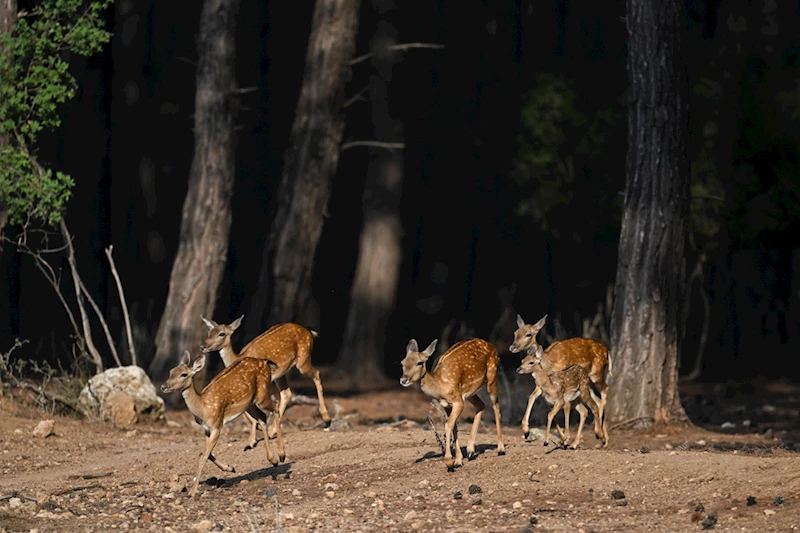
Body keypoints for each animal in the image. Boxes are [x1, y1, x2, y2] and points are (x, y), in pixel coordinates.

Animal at [159, 352, 284, 496]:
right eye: (171, 371)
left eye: (183, 374)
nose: (163, 386)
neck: (203, 408)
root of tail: (265, 362)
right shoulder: (206, 429)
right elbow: (206, 454)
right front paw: (231, 468)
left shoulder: (217, 426)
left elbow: (204, 456)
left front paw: (192, 492)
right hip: (250, 404)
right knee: (263, 417)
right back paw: (273, 460)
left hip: (262, 395)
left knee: (275, 406)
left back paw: (282, 456)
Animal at [202, 314, 330, 446]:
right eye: (209, 332)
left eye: (221, 334)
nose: (203, 346)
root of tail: (309, 331)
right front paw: (255, 435)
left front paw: (252, 440)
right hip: (282, 373)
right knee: (287, 394)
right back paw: (272, 431)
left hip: (303, 359)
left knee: (316, 373)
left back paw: (327, 420)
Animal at [400, 336, 506, 470]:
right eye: (402, 363)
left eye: (419, 363)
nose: (403, 380)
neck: (441, 386)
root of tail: (493, 346)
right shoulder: (447, 405)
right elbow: (454, 425)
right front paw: (458, 461)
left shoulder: (458, 401)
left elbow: (448, 424)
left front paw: (450, 462)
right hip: (471, 392)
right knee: (481, 405)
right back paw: (470, 451)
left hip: (492, 376)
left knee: (496, 406)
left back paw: (501, 449)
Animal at [506, 312, 612, 440]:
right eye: (515, 333)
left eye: (528, 334)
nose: (512, 347)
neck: (548, 362)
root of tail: (607, 351)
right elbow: (532, 396)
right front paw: (526, 429)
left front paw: (564, 437)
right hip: (587, 383)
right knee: (597, 400)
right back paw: (602, 435)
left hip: (597, 374)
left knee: (605, 389)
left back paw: (598, 432)